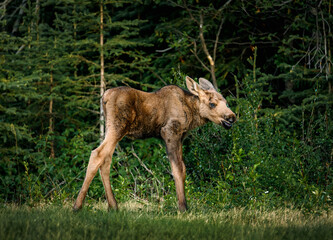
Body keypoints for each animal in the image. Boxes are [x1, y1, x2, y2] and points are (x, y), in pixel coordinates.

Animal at [73, 76, 233, 211]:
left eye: (226, 102)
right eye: (212, 104)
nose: (231, 117)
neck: (192, 114)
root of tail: (104, 97)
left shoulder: (180, 137)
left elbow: (182, 168)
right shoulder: (169, 131)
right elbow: (178, 169)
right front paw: (182, 207)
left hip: (111, 128)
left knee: (106, 160)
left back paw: (113, 206)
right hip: (117, 127)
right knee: (97, 154)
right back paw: (77, 206)